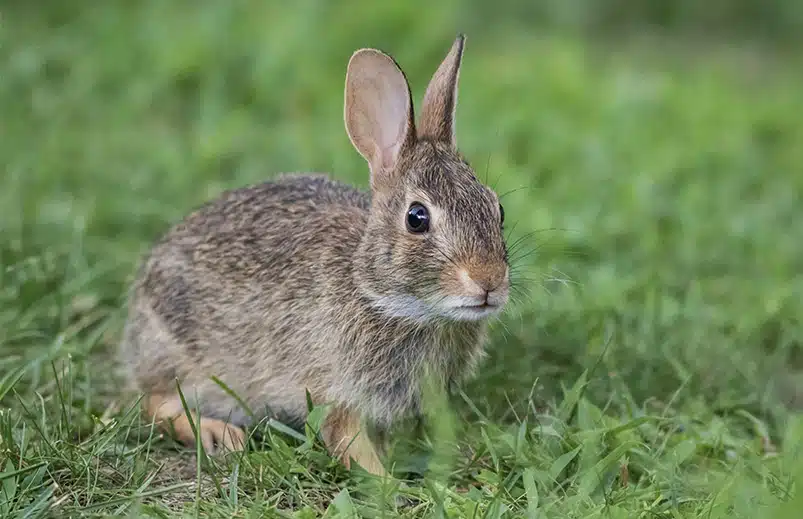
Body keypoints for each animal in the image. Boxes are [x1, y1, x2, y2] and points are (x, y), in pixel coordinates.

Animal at [119, 34, 508, 478]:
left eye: (497, 209)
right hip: (181, 358)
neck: (383, 297)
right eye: (416, 218)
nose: (489, 282)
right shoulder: (335, 390)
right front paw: (389, 483)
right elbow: (348, 441)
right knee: (155, 402)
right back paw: (219, 433)